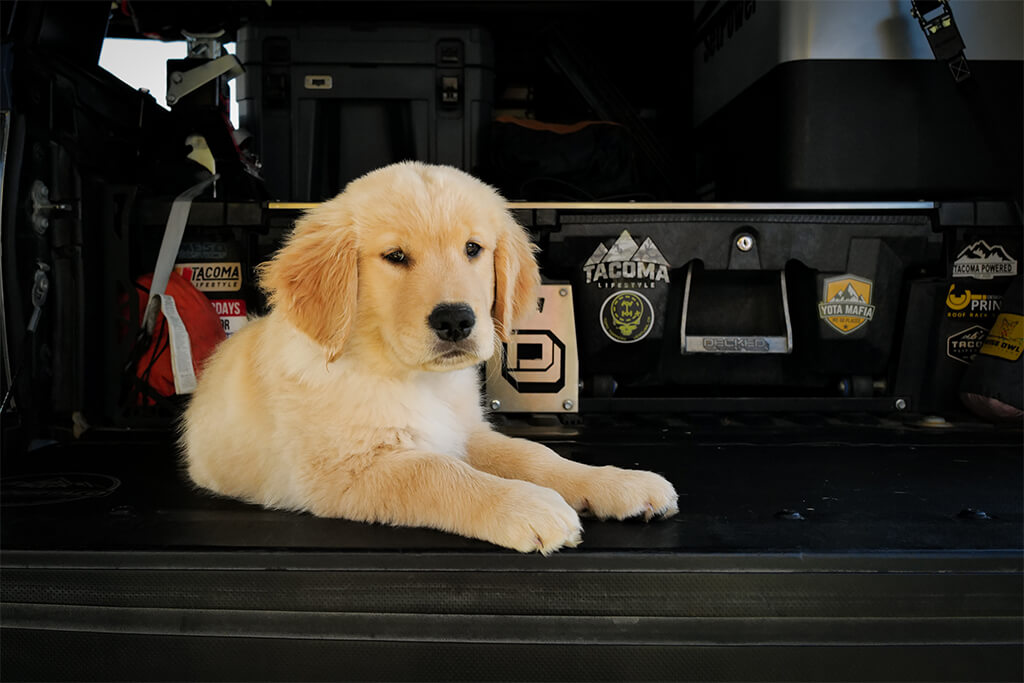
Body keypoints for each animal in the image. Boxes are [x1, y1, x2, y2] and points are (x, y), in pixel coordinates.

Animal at [182, 161, 679, 557]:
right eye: (395, 256)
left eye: (473, 249)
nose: (456, 320)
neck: (415, 378)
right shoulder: (345, 470)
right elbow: (437, 472)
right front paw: (529, 504)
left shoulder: (466, 431)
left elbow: (535, 454)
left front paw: (619, 483)